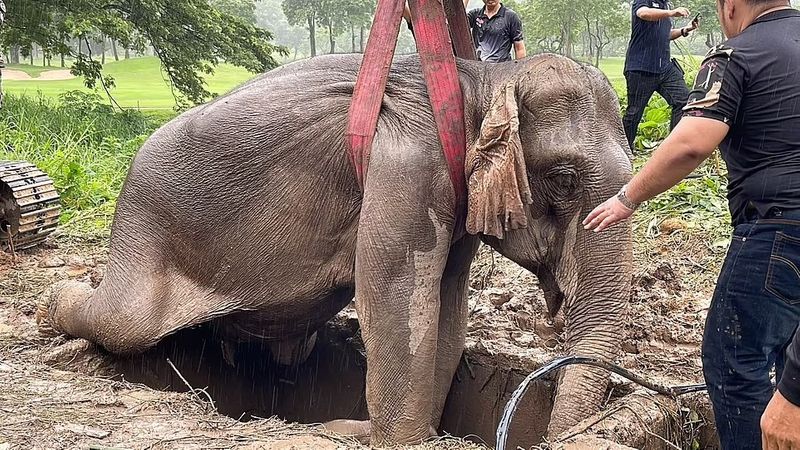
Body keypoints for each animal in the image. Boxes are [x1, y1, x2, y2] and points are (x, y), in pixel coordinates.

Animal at [37, 52, 636, 446]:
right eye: (563, 179)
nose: (564, 434)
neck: (482, 79)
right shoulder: (408, 168)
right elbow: (396, 298)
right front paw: (381, 436)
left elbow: (447, 304)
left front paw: (415, 431)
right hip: (145, 231)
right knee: (125, 321)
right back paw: (54, 303)